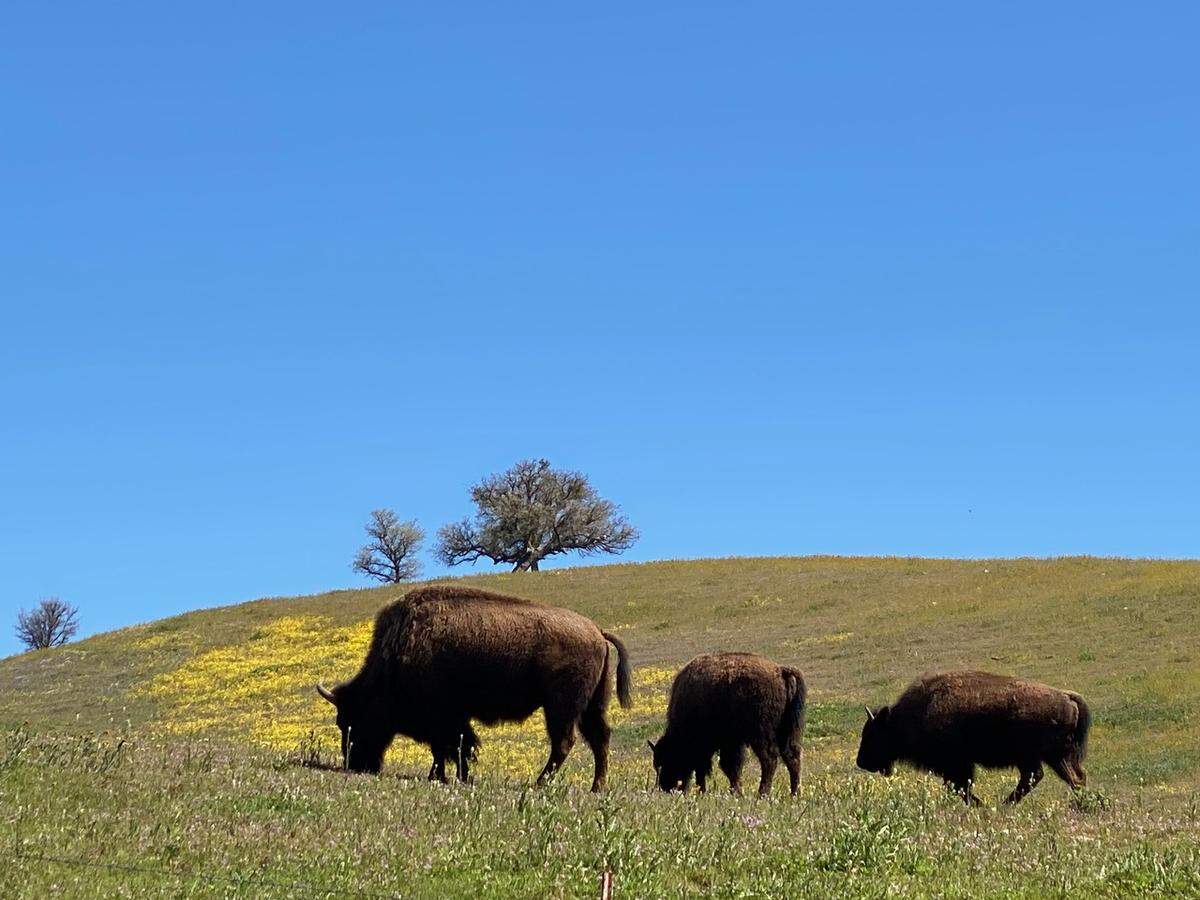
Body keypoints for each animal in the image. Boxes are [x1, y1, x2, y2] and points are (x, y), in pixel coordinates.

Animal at [316, 585, 632, 791]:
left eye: (352, 721)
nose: (356, 765)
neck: (399, 651)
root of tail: (597, 631)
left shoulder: (443, 717)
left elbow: (449, 747)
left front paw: (443, 776)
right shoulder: (453, 718)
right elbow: (454, 746)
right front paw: (452, 776)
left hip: (560, 707)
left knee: (564, 742)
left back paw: (538, 784)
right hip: (591, 706)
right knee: (599, 738)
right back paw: (596, 787)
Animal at [649, 652, 807, 797]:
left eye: (667, 760)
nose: (665, 788)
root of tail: (781, 671)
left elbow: (722, 766)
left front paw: (731, 792)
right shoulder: (729, 743)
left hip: (761, 735)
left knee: (769, 759)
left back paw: (762, 794)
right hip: (786, 732)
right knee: (792, 756)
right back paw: (794, 794)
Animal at [856, 670, 1091, 805]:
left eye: (873, 734)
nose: (861, 762)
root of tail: (1066, 696)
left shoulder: (957, 764)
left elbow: (960, 787)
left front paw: (980, 805)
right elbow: (958, 787)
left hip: (1041, 756)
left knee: (1045, 777)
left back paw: (1004, 805)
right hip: (1056, 757)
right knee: (1075, 777)